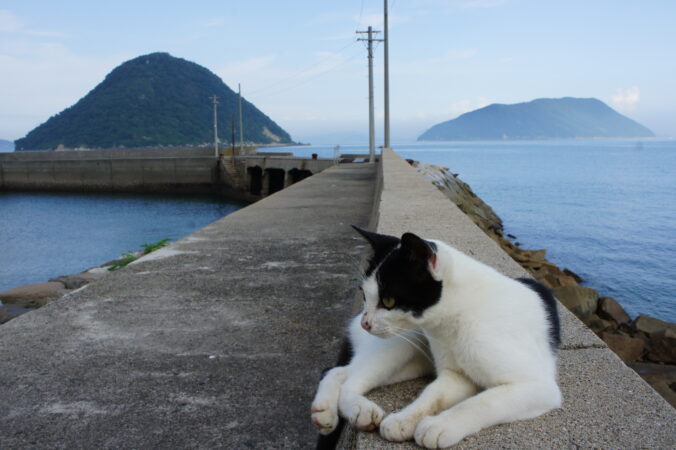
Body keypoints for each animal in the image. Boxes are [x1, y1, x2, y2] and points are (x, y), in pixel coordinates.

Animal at [312, 227, 560, 448]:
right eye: (365, 296)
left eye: (389, 301)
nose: (366, 323)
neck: (455, 322)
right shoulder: (456, 373)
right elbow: (433, 395)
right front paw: (408, 419)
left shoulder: (539, 386)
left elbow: (479, 402)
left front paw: (435, 425)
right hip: (399, 344)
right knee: (346, 379)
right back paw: (358, 410)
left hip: (412, 361)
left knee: (339, 372)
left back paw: (325, 412)